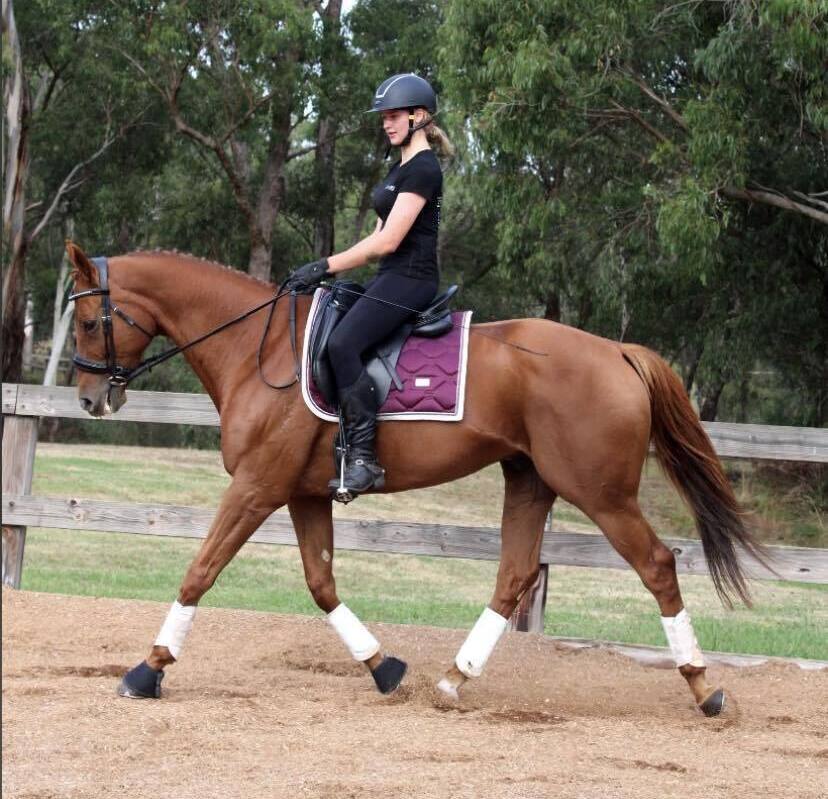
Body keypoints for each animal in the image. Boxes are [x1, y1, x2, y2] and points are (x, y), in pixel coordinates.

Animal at [66, 241, 766, 716]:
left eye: (88, 322)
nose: (90, 400)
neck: (256, 350)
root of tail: (618, 351)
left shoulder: (257, 488)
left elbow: (200, 571)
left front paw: (148, 671)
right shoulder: (301, 494)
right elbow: (321, 584)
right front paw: (384, 669)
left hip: (601, 493)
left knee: (656, 565)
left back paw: (704, 687)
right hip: (530, 479)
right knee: (514, 575)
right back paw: (454, 680)